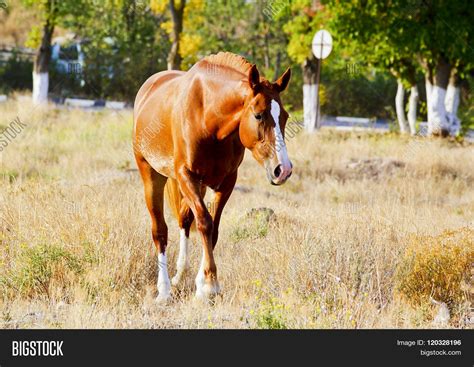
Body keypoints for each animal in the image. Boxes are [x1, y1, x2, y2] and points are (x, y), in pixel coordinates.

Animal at [131, 51, 290, 304]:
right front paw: (209, 286)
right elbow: (204, 223)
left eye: (284, 116)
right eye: (258, 115)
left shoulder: (225, 182)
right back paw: (164, 290)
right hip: (151, 175)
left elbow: (212, 229)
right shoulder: (186, 176)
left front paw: (202, 282)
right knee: (160, 231)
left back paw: (179, 276)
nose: (283, 169)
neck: (208, 117)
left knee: (184, 220)